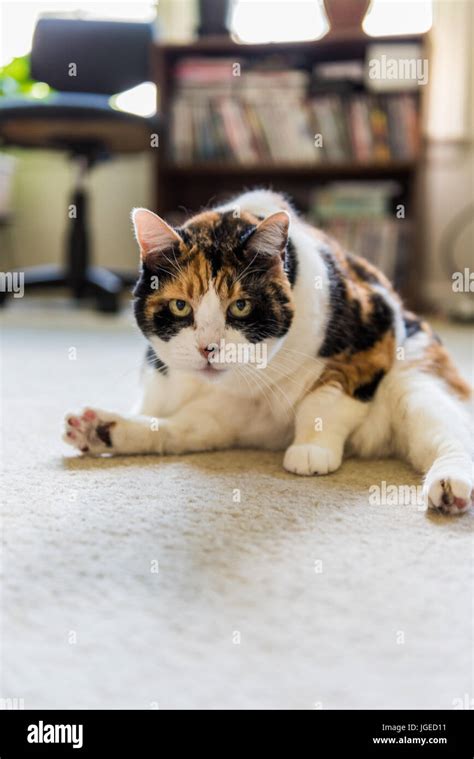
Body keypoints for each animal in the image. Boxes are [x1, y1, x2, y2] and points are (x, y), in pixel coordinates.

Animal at [64, 190, 474, 516]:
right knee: (179, 431)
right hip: (223, 417)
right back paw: (101, 429)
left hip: (415, 384)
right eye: (180, 306)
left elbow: (326, 398)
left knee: (449, 433)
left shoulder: (373, 328)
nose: (208, 348)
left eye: (241, 306)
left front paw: (311, 450)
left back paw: (450, 487)